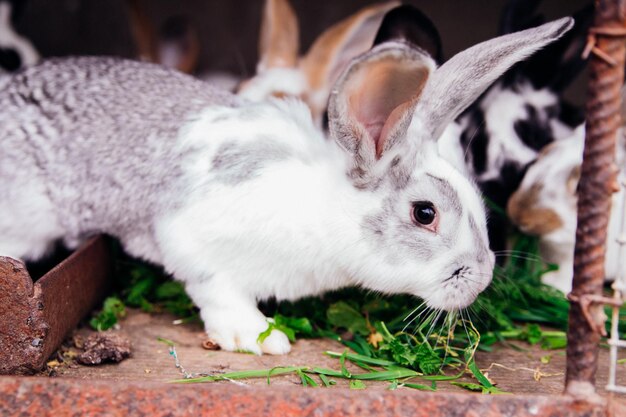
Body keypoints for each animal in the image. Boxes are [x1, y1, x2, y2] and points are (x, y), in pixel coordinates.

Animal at [0, 18, 572, 354]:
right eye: (424, 213)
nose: (480, 279)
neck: (324, 211)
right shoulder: (191, 240)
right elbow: (216, 289)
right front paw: (258, 337)